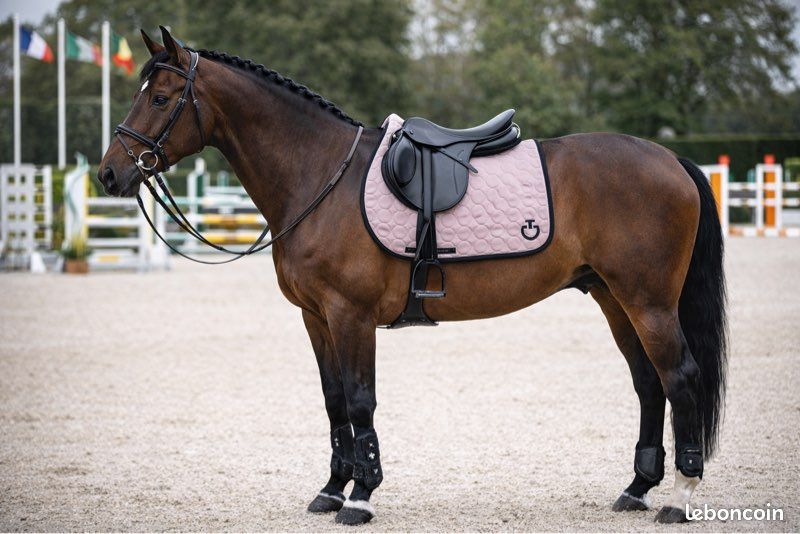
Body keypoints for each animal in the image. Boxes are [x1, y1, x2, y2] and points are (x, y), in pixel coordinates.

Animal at [99, 27, 727, 525]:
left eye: (160, 97)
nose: (108, 174)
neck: (320, 178)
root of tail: (670, 160)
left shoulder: (350, 316)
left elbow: (359, 401)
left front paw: (361, 496)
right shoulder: (315, 318)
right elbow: (333, 400)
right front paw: (332, 488)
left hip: (647, 302)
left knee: (680, 378)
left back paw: (680, 497)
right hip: (612, 297)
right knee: (648, 383)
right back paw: (637, 489)